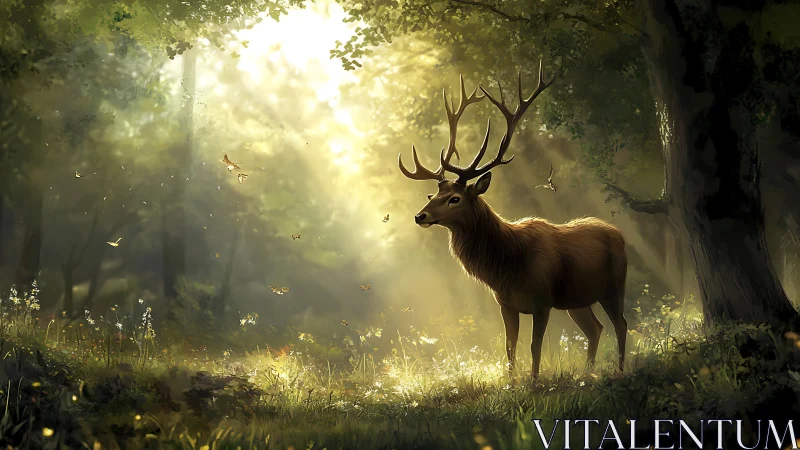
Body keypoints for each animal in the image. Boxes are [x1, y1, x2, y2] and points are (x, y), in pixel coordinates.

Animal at [398, 61, 628, 379]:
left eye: (454, 198)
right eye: (436, 193)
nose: (420, 215)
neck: (507, 264)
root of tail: (618, 233)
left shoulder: (542, 300)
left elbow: (534, 346)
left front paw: (533, 381)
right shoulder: (506, 304)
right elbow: (509, 346)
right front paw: (512, 382)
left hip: (614, 284)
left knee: (621, 324)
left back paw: (620, 369)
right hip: (577, 299)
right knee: (595, 328)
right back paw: (587, 374)